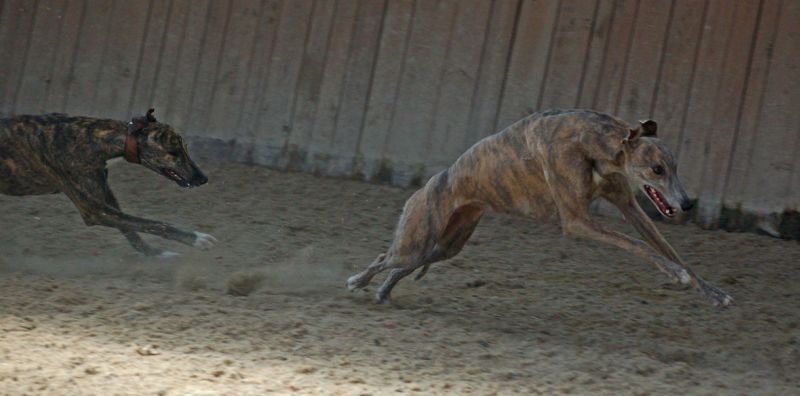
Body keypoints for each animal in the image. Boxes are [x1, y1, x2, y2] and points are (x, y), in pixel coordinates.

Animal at [0, 108, 216, 256]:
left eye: (185, 148)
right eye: (173, 153)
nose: (203, 179)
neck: (92, 138)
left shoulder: (105, 195)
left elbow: (131, 228)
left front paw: (155, 255)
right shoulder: (94, 210)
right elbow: (154, 224)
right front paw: (196, 239)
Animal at [346, 107, 736, 306]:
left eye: (675, 167)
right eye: (657, 169)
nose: (687, 202)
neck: (591, 141)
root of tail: (430, 185)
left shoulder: (629, 205)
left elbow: (669, 251)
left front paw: (711, 290)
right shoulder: (576, 220)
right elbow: (638, 246)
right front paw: (676, 275)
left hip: (446, 244)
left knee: (405, 265)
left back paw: (383, 291)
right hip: (417, 239)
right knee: (385, 258)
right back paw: (358, 281)